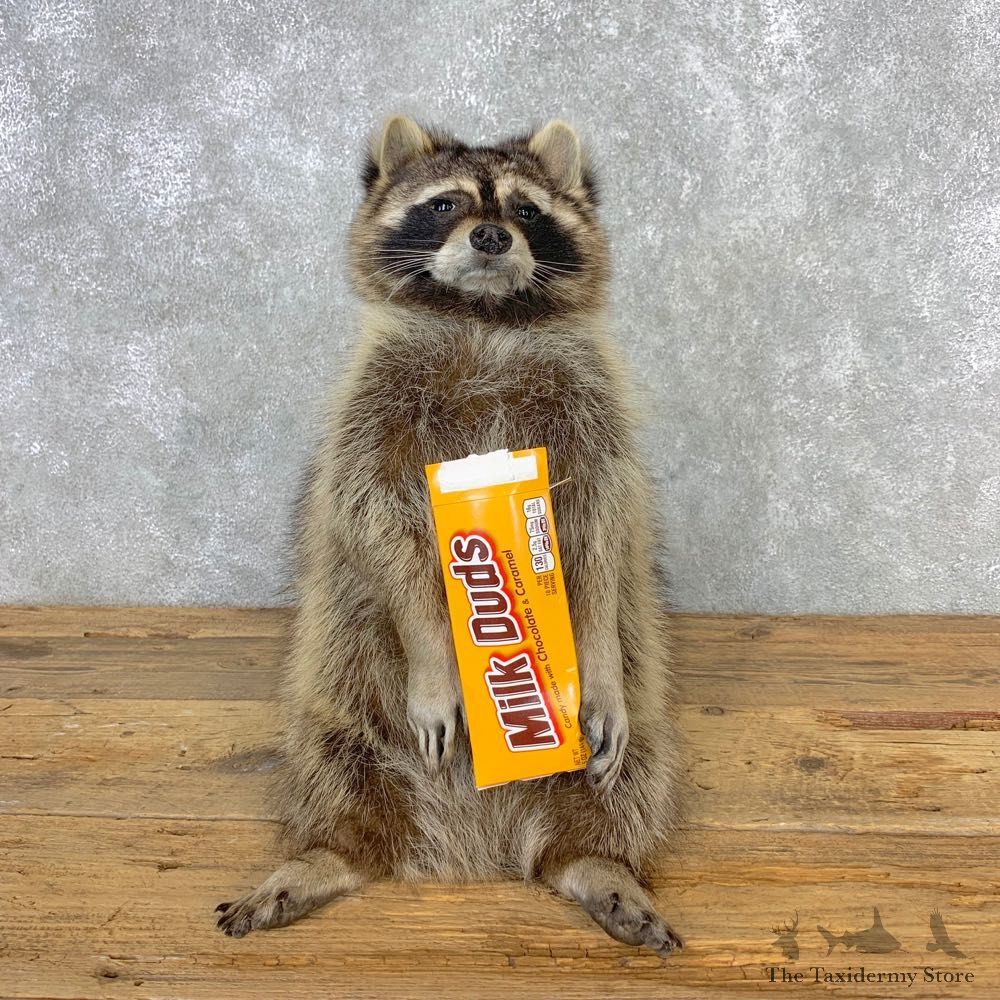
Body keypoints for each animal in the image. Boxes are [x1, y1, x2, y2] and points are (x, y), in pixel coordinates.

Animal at [215, 116, 683, 957]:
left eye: (527, 210)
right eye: (445, 204)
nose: (493, 235)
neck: (484, 320)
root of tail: (471, 852)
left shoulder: (594, 415)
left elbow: (603, 530)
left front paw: (594, 652)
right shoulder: (370, 412)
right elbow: (377, 522)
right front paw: (435, 650)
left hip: (634, 733)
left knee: (632, 778)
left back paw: (596, 859)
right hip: (341, 694)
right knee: (330, 762)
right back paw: (329, 852)